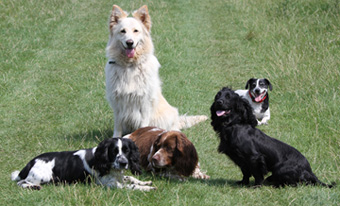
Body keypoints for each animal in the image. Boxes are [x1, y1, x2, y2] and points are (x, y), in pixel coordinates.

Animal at [104, 4, 207, 138]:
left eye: (136, 31)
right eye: (123, 31)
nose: (129, 42)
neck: (130, 66)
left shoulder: (145, 103)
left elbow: (143, 125)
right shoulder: (116, 102)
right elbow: (118, 125)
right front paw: (116, 139)